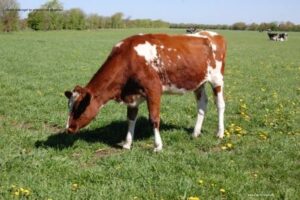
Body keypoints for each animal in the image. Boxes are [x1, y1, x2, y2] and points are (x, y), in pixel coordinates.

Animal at [64, 30, 226, 151]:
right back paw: (195, 133)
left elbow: (154, 118)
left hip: (217, 79)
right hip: (199, 82)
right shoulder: (132, 95)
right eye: (69, 107)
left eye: (80, 107)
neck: (128, 57)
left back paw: (220, 133)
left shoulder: (153, 89)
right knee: (202, 104)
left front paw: (158, 146)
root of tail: (211, 34)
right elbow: (130, 118)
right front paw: (127, 144)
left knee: (220, 105)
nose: (68, 128)